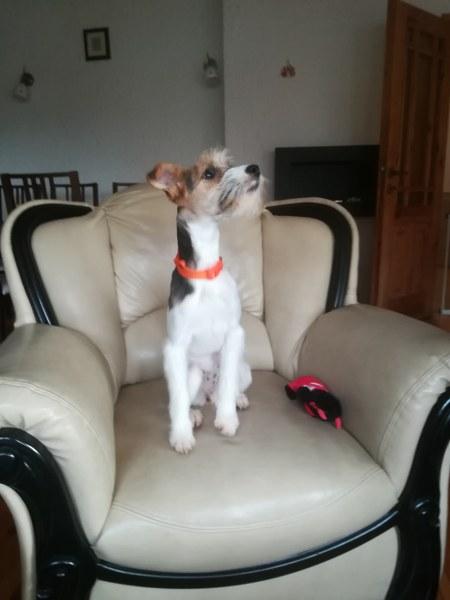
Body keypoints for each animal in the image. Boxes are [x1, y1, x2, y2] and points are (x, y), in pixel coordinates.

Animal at [147, 148, 263, 453]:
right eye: (209, 173)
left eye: (228, 163)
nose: (255, 169)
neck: (204, 274)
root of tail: (207, 394)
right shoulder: (174, 348)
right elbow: (176, 400)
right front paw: (181, 435)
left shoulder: (234, 334)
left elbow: (228, 384)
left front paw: (227, 418)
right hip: (193, 372)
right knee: (186, 400)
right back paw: (194, 416)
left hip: (244, 369)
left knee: (228, 388)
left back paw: (235, 400)